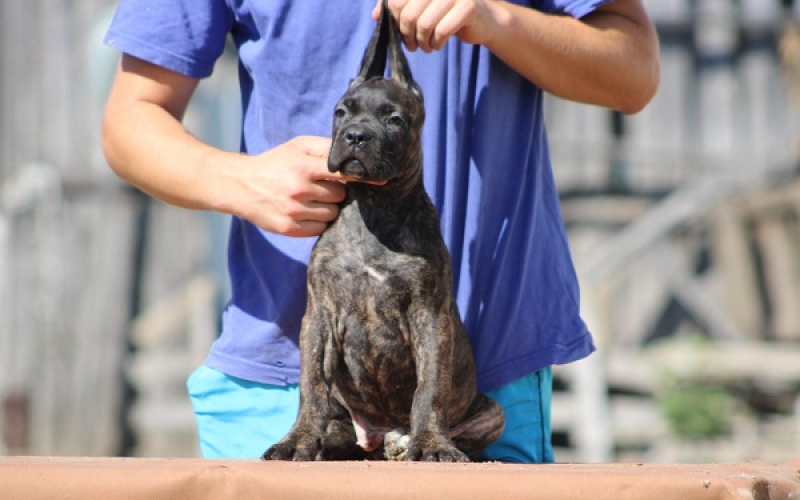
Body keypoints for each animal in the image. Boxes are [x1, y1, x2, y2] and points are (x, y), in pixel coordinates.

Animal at [262, 0, 504, 460]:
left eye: (394, 120)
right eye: (341, 112)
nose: (355, 136)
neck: (372, 209)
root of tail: (377, 435)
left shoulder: (430, 316)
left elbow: (430, 388)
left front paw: (431, 443)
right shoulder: (318, 317)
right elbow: (312, 386)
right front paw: (296, 440)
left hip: (490, 412)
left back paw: (408, 442)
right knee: (340, 428)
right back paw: (336, 443)